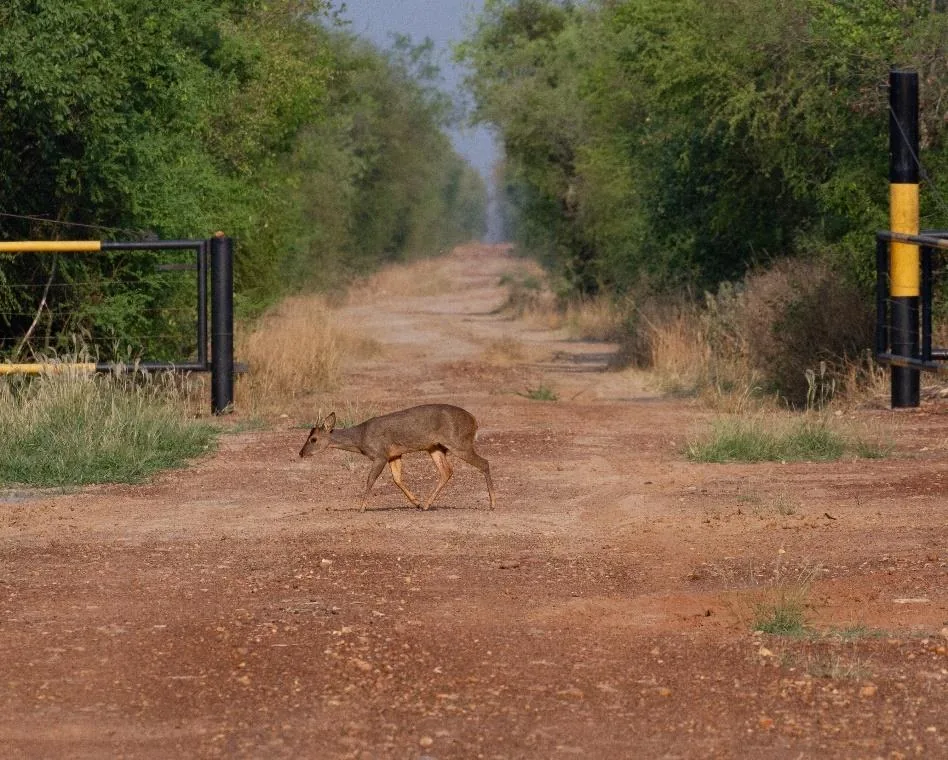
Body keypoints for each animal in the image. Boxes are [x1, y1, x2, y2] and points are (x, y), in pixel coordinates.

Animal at [299, 404, 495, 512]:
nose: (301, 453)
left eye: (313, 439)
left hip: (458, 442)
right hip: (435, 447)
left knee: (484, 463)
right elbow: (397, 478)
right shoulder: (394, 454)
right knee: (447, 471)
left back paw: (493, 503)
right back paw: (426, 505)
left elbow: (370, 480)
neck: (360, 439)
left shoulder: (379, 454)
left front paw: (361, 507)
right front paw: (416, 502)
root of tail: (474, 421)